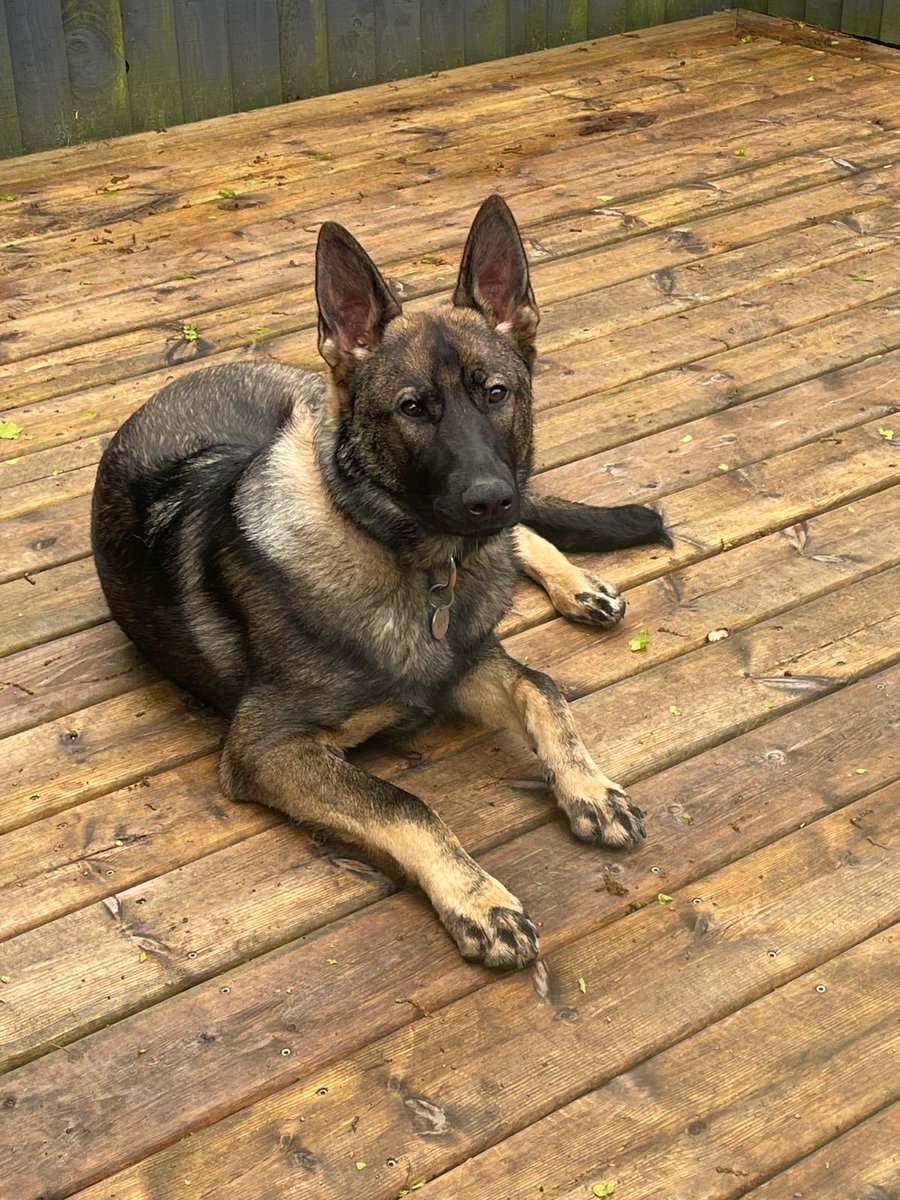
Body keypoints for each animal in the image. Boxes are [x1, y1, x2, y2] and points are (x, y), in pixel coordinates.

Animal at [93, 194, 672, 964]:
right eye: (413, 407)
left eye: (497, 393)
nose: (490, 499)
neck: (421, 568)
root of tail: (183, 377)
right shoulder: (270, 747)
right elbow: (404, 802)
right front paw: (478, 897)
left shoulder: (471, 662)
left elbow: (542, 687)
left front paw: (590, 788)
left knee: (526, 536)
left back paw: (576, 582)